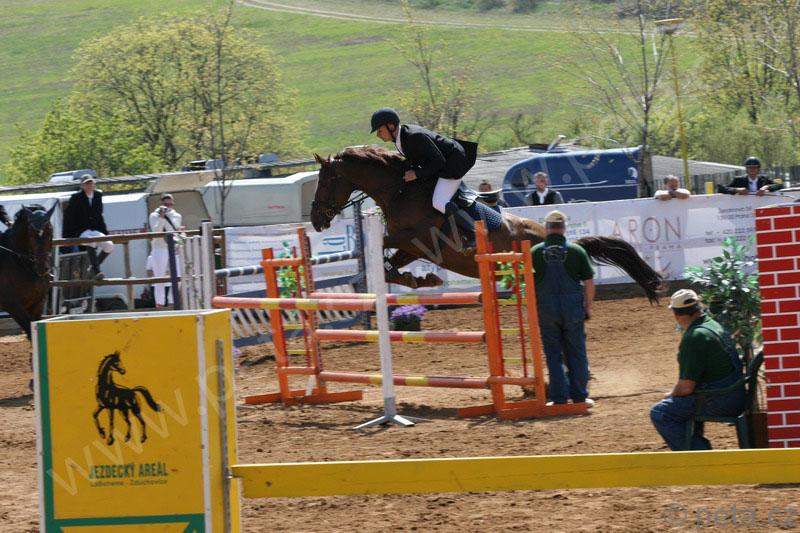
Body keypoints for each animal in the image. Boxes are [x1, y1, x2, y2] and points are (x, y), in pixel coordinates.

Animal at [0, 204, 56, 337]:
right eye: (31, 235)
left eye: (50, 231)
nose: (42, 267)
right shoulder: (13, 305)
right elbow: (29, 330)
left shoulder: (37, 303)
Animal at [310, 146, 665, 302]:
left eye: (325, 181)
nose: (315, 220)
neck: (399, 188)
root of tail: (555, 238)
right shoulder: (411, 246)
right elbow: (388, 267)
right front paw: (422, 280)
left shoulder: (416, 240)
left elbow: (384, 252)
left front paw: (420, 279)